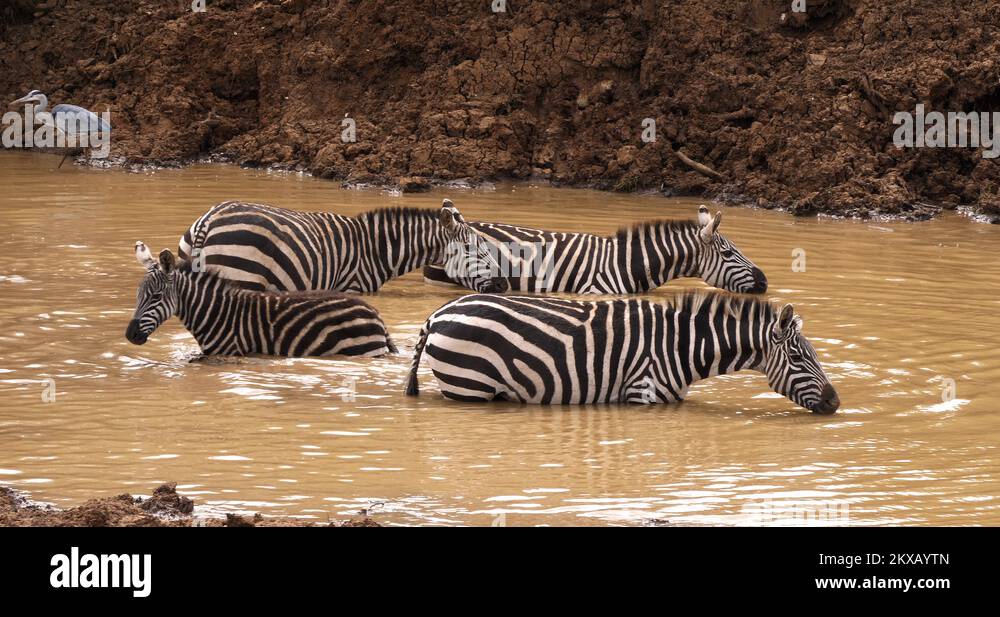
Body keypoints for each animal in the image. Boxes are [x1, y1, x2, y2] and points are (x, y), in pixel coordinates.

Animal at [126, 241, 396, 357]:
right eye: (137, 296)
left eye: (157, 297)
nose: (130, 335)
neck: (216, 313)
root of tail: (375, 314)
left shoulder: (227, 356)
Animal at [177, 199, 508, 294]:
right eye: (474, 250)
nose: (504, 285)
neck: (375, 249)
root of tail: (210, 218)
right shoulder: (354, 288)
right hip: (241, 275)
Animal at [405, 292, 840, 414]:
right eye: (798, 358)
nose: (836, 403)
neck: (680, 347)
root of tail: (438, 313)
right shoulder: (641, 396)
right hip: (469, 387)